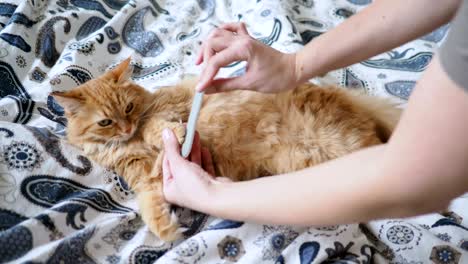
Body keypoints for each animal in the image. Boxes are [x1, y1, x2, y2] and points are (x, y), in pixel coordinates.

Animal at [52, 57, 402, 241]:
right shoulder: (144, 177)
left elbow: (159, 127)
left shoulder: (165, 110)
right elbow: (149, 203)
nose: (126, 128)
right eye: (106, 122)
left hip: (347, 145)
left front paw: (175, 134)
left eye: (129, 108)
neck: (132, 142)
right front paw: (166, 230)